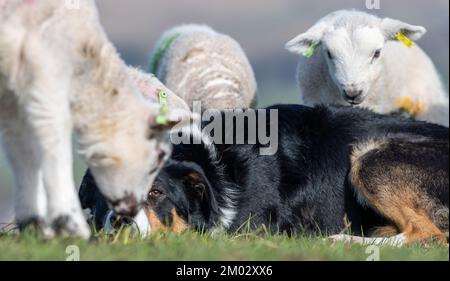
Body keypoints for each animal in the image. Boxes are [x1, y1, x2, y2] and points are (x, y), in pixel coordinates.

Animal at [81, 104, 450, 245]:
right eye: (105, 193)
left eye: (156, 193)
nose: (120, 220)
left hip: (369, 156)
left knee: (428, 234)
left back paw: (345, 241)